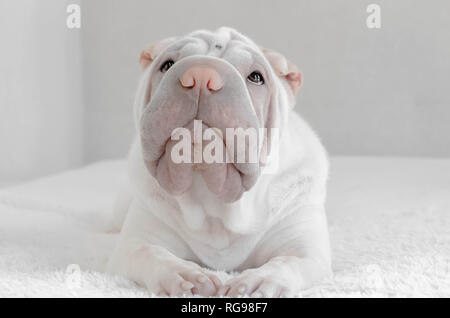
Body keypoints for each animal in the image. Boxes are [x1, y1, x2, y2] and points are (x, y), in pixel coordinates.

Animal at [106, 26, 330, 296]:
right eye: (167, 65)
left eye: (256, 77)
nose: (201, 76)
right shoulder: (135, 243)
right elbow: (150, 252)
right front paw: (187, 276)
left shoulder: (304, 247)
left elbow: (287, 262)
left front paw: (256, 282)